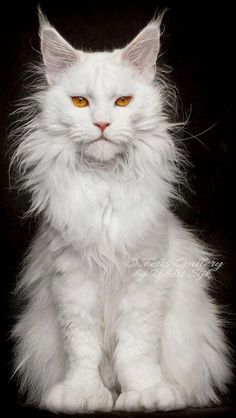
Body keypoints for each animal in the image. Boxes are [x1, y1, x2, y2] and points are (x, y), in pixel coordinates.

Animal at [11, 10, 232, 414]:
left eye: (124, 102)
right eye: (80, 102)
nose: (101, 124)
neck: (105, 187)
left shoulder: (144, 277)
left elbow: (135, 350)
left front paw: (145, 395)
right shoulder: (71, 280)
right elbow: (83, 349)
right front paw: (82, 395)